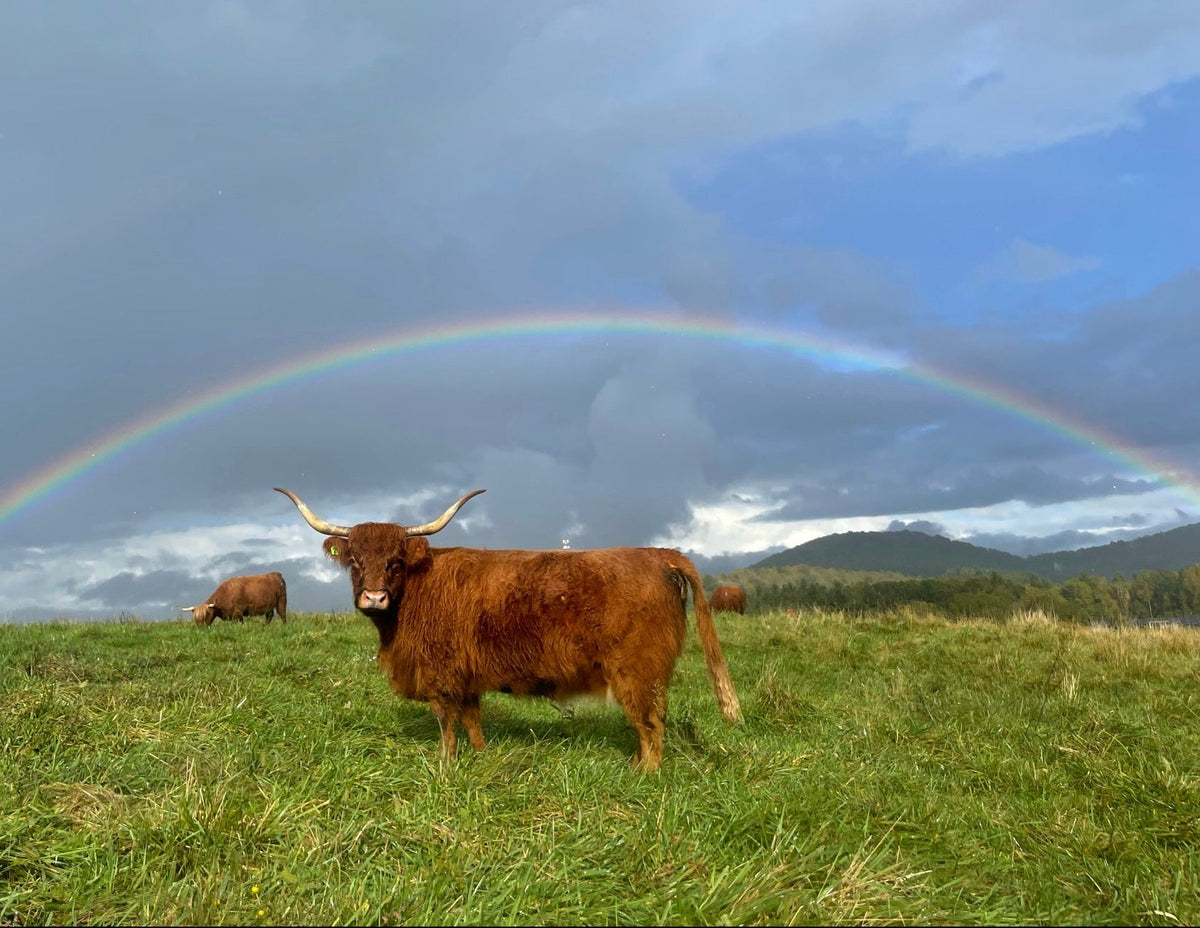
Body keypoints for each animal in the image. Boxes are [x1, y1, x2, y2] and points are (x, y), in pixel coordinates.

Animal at [275, 487, 742, 771]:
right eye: (354, 560)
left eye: (395, 561)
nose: (374, 598)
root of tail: (660, 554)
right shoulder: (465, 675)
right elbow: (472, 719)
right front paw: (481, 757)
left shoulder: (441, 673)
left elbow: (446, 721)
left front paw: (445, 765)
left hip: (637, 669)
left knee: (650, 723)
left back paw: (645, 774)